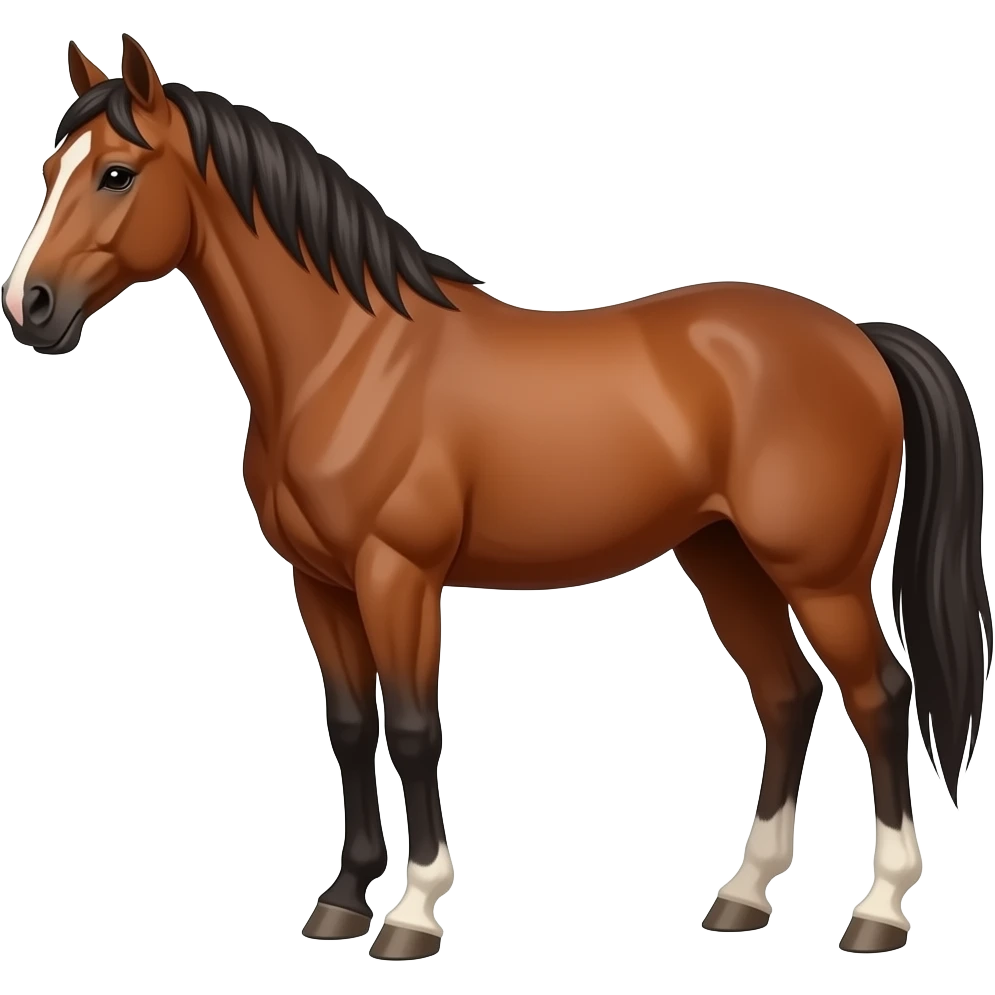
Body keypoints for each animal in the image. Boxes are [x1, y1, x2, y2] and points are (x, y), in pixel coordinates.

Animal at [3, 34, 990, 959]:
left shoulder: (397, 575)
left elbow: (410, 727)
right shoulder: (319, 583)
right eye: (52, 171)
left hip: (818, 574)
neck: (348, 358)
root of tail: (856, 339)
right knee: (787, 695)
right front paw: (341, 898)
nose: (30, 306)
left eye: (118, 174)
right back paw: (742, 895)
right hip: (724, 557)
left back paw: (877, 908)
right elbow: (350, 724)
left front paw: (412, 910)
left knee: (878, 694)